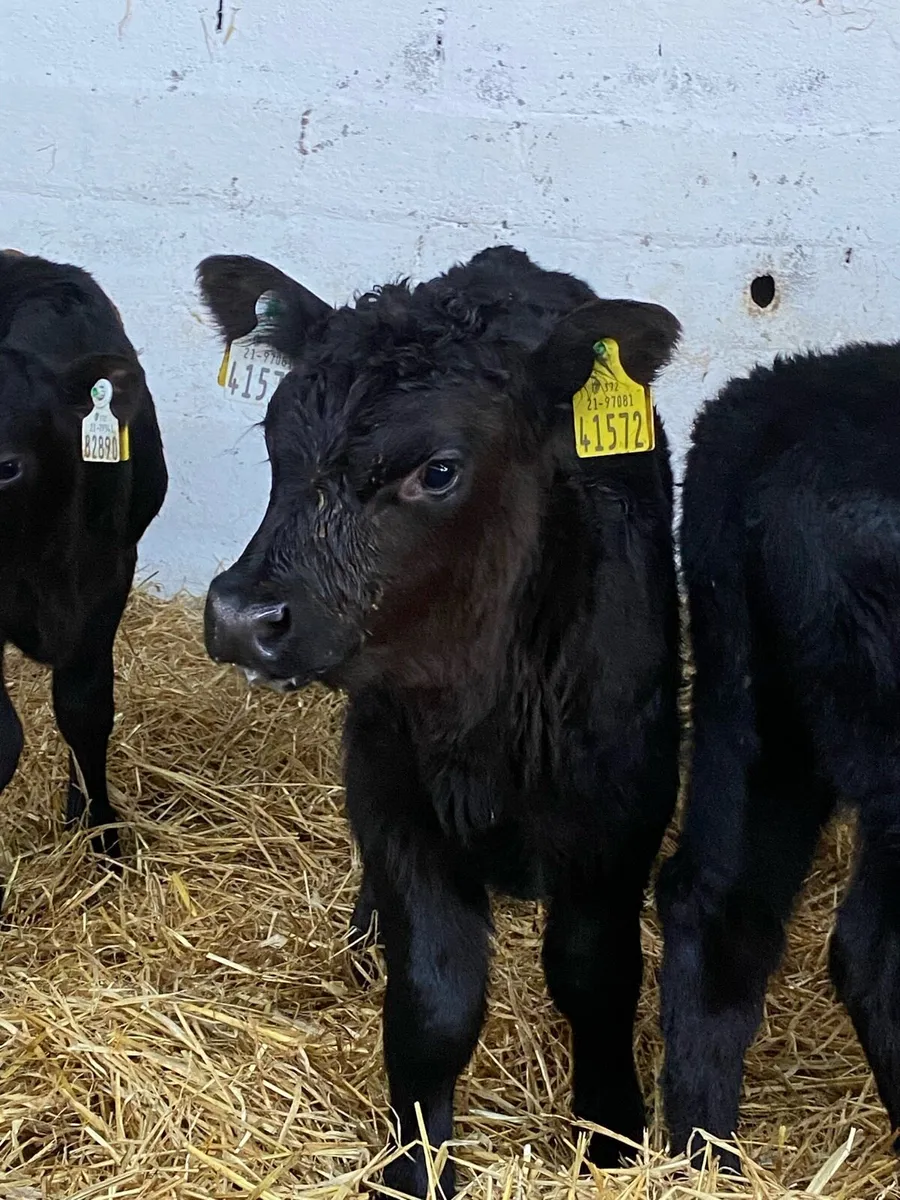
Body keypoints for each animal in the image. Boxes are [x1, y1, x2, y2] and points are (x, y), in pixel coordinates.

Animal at [198, 245, 681, 1197]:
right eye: (275, 439)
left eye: (440, 470)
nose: (240, 616)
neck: (485, 716)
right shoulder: (390, 788)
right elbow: (434, 1000)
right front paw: (413, 1168)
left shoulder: (622, 804)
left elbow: (595, 974)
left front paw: (612, 1133)